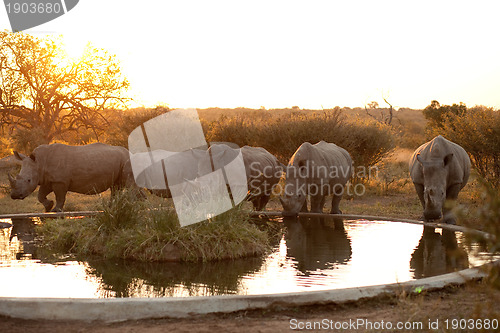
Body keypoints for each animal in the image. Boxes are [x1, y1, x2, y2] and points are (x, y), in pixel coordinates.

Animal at [9, 142, 138, 210]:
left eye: (29, 180)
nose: (14, 196)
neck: (40, 162)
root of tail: (128, 151)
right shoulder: (48, 179)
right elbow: (40, 195)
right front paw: (48, 206)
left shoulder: (60, 181)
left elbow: (60, 197)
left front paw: (56, 211)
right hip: (120, 161)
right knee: (115, 186)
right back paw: (112, 207)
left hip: (126, 160)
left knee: (127, 184)